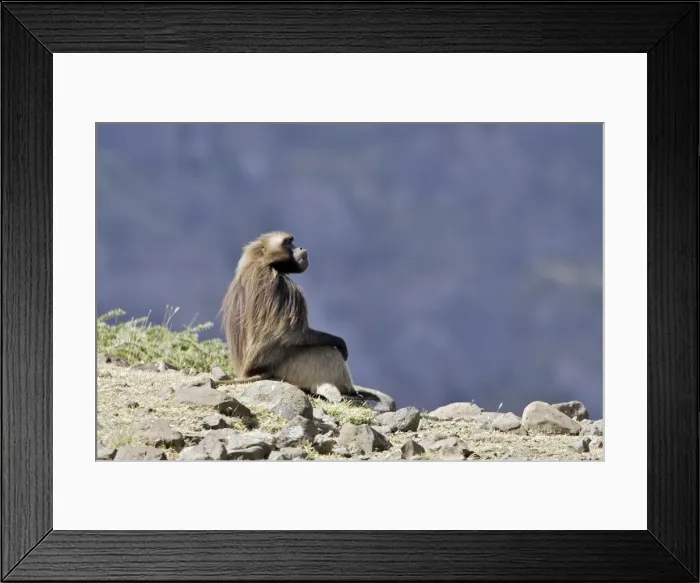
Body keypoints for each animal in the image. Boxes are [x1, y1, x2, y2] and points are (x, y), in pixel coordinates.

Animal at [217, 231, 356, 395]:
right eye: (287, 243)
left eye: (292, 241)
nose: (300, 247)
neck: (262, 262)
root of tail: (251, 372)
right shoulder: (282, 286)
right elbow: (292, 334)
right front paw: (340, 342)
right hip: (287, 368)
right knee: (330, 353)